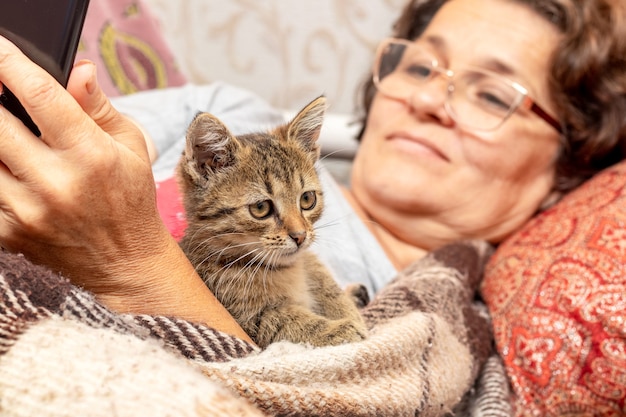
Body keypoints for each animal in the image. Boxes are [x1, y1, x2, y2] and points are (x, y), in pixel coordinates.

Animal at [177, 96, 366, 346]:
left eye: (307, 199)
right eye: (261, 208)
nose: (300, 236)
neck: (285, 269)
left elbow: (328, 287)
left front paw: (348, 310)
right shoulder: (248, 319)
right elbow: (285, 321)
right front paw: (340, 330)